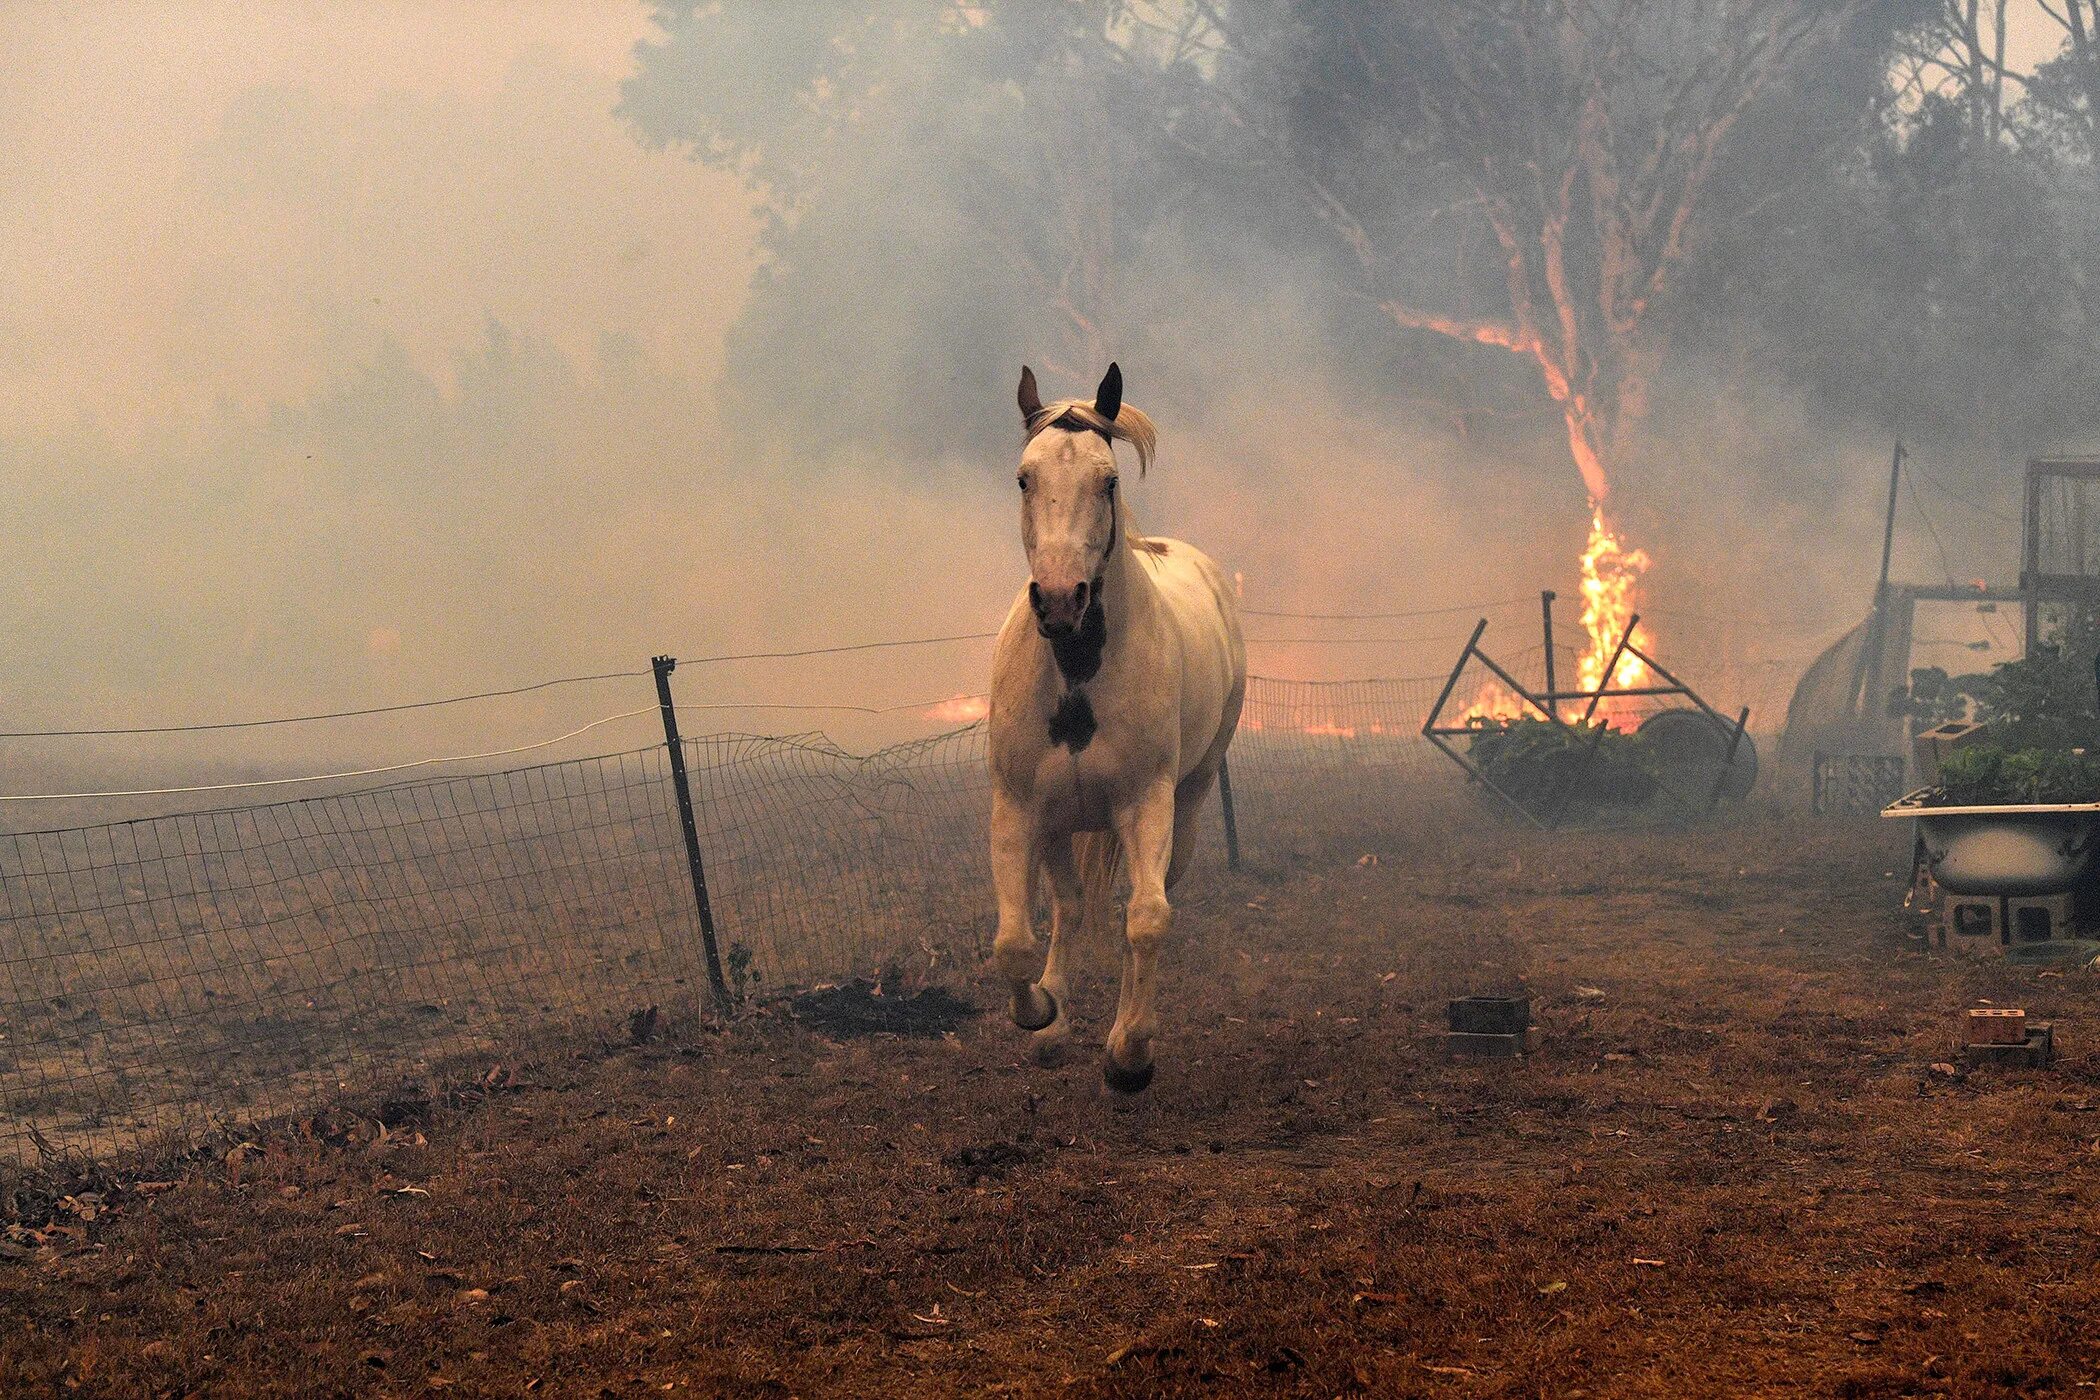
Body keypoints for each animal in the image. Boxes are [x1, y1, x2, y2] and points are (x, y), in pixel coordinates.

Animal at [986, 361, 1243, 1091]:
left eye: (1108, 481)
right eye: (1024, 477)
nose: (1059, 600)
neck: (1078, 674)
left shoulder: (1145, 805)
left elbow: (1147, 921)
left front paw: (1129, 1055)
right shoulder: (1020, 808)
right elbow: (1014, 941)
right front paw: (1041, 1014)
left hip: (1187, 802)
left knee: (1139, 906)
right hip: (1059, 820)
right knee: (1069, 907)